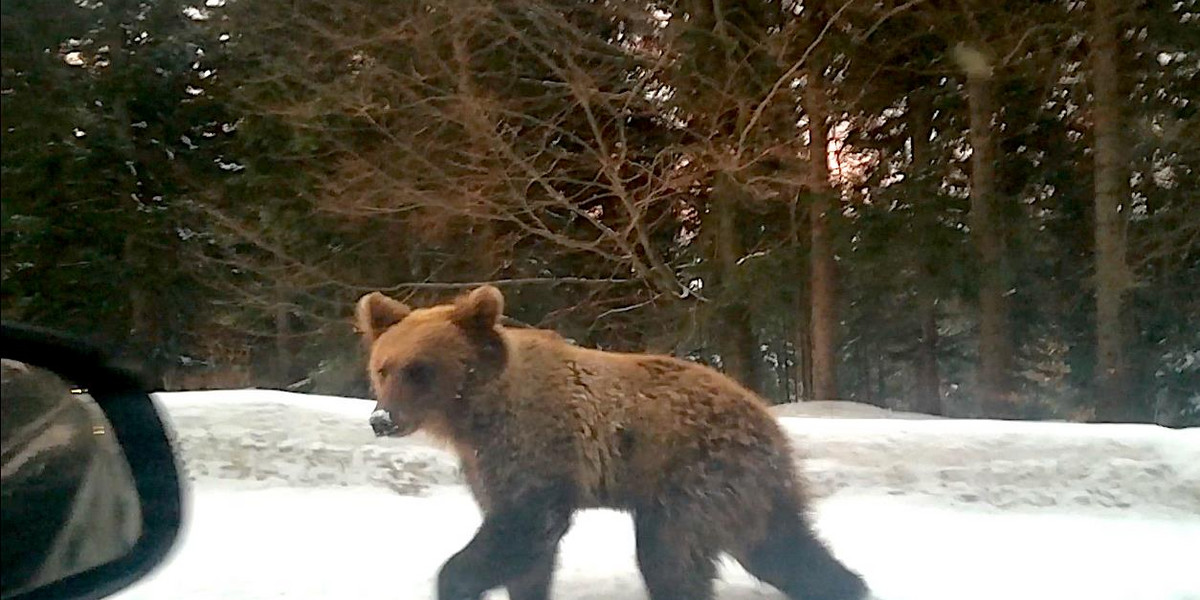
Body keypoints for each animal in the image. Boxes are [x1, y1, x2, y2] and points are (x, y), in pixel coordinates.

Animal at [350, 285, 868, 600]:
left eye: (420, 369)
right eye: (383, 367)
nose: (381, 419)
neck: (474, 416)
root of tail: (765, 416)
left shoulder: (537, 447)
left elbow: (525, 525)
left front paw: (455, 580)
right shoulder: (485, 466)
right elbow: (527, 553)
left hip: (695, 477)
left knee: (671, 555)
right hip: (747, 490)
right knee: (781, 546)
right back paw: (851, 585)